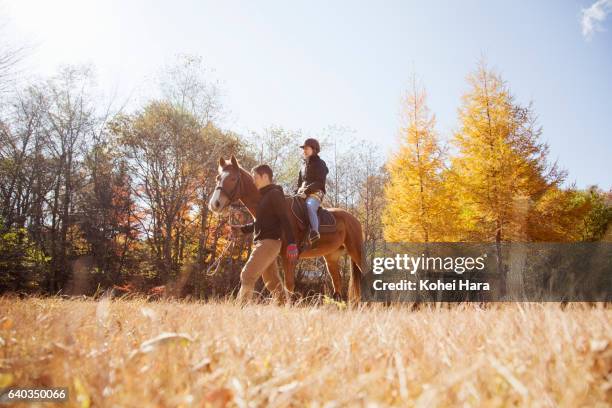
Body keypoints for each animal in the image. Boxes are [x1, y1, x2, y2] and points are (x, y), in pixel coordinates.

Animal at [208, 155, 366, 302]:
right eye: (217, 178)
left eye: (233, 178)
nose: (215, 204)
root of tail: (355, 220)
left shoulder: (288, 257)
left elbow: (288, 285)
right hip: (331, 257)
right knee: (337, 282)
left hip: (356, 253)